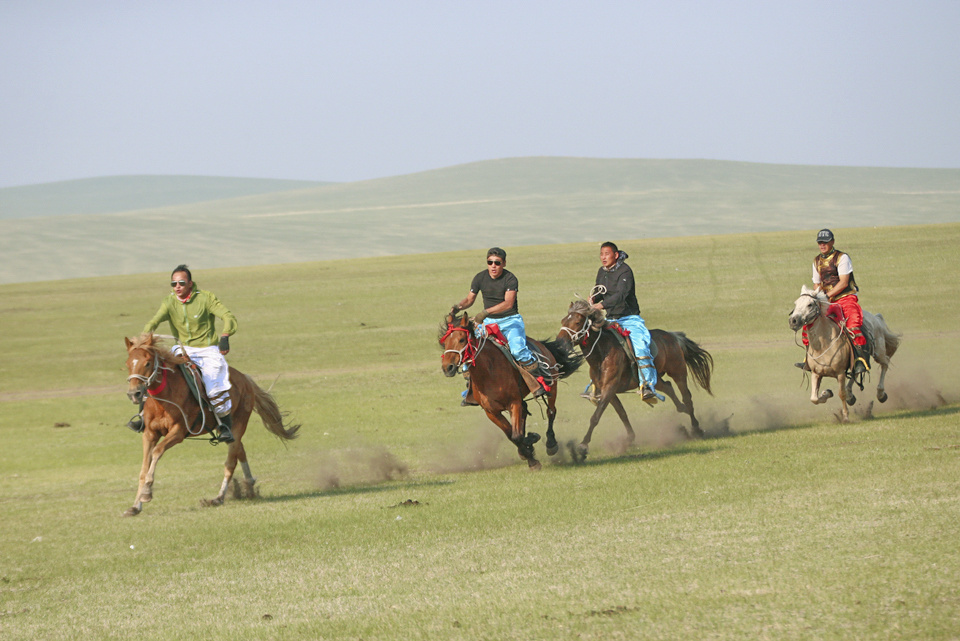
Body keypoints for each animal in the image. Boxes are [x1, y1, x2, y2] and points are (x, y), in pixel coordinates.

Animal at [123, 336, 300, 516]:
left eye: (147, 363)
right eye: (128, 364)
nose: (134, 394)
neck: (164, 399)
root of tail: (245, 379)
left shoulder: (178, 432)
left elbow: (157, 452)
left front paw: (146, 493)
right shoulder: (149, 434)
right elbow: (144, 468)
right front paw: (136, 506)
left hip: (239, 424)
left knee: (231, 462)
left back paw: (218, 498)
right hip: (229, 430)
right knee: (240, 451)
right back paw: (249, 487)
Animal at [438, 312, 580, 470]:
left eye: (462, 339)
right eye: (445, 342)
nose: (447, 367)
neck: (489, 372)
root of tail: (541, 344)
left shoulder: (514, 403)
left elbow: (516, 435)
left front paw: (532, 460)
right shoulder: (491, 412)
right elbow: (511, 435)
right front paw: (528, 449)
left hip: (552, 386)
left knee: (551, 412)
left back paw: (551, 444)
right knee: (526, 412)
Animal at [556, 298, 712, 458]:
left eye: (577, 322)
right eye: (563, 321)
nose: (560, 343)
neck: (602, 354)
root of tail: (673, 336)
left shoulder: (609, 389)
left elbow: (596, 416)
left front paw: (583, 446)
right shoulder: (609, 392)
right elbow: (622, 413)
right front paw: (630, 439)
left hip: (678, 372)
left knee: (686, 397)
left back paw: (696, 428)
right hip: (654, 378)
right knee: (668, 387)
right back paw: (681, 409)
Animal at [788, 284, 900, 420]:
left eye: (809, 304)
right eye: (796, 303)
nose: (793, 321)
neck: (824, 345)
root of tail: (875, 317)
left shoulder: (840, 373)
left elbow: (841, 394)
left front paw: (845, 416)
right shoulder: (816, 373)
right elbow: (814, 398)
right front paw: (826, 393)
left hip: (879, 352)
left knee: (885, 363)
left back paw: (880, 394)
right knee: (857, 371)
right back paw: (851, 396)